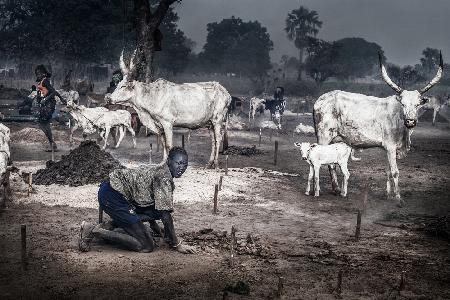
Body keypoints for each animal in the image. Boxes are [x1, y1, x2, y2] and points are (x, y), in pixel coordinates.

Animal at [312, 52, 442, 205]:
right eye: (403, 104)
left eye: (417, 105)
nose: (410, 121)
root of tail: (320, 100)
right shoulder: (391, 147)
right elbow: (395, 172)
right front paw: (398, 197)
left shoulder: (389, 149)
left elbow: (388, 171)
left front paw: (388, 195)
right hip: (324, 136)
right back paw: (324, 189)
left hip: (333, 139)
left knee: (331, 163)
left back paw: (336, 189)